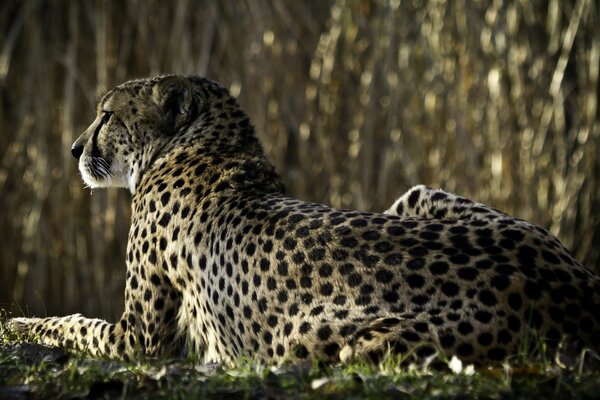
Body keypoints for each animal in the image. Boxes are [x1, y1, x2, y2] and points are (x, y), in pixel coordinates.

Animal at [9, 75, 600, 366]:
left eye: (107, 114)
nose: (74, 148)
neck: (199, 143)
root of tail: (574, 285)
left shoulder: (141, 339)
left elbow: (72, 323)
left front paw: (16, 324)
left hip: (343, 341)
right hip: (420, 195)